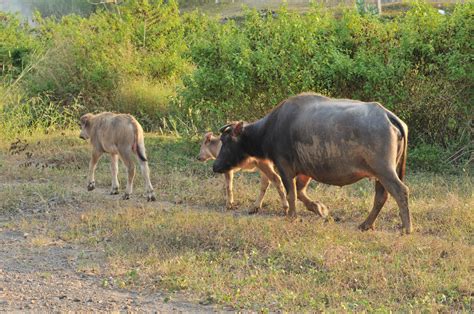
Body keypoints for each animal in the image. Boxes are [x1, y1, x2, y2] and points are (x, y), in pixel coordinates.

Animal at [215, 92, 412, 233]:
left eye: (225, 141)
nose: (215, 166)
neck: (270, 129)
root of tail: (388, 116)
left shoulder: (284, 166)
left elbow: (291, 193)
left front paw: (292, 216)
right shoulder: (305, 170)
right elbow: (300, 192)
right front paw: (320, 209)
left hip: (384, 170)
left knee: (400, 191)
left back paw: (406, 227)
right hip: (380, 172)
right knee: (381, 196)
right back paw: (366, 224)